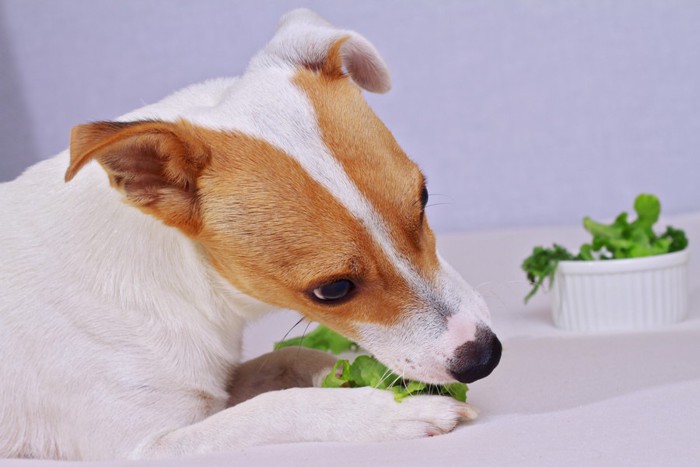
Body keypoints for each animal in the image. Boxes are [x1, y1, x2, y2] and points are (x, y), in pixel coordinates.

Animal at [0, 10, 504, 460]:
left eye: (422, 200)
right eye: (332, 290)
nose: (484, 357)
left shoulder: (220, 383)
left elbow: (289, 359)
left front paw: (349, 375)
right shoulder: (143, 447)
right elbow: (273, 407)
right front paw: (385, 412)